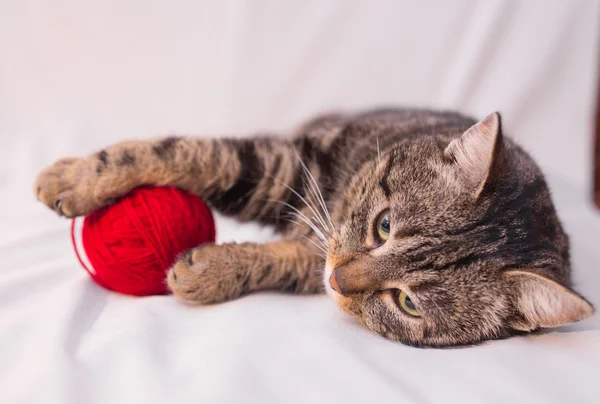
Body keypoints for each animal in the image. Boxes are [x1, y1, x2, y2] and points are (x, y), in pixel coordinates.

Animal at [35, 108, 592, 348]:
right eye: (383, 225)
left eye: (407, 302)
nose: (339, 280)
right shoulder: (285, 162)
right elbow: (189, 154)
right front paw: (73, 177)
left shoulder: (316, 257)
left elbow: (280, 261)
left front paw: (209, 269)